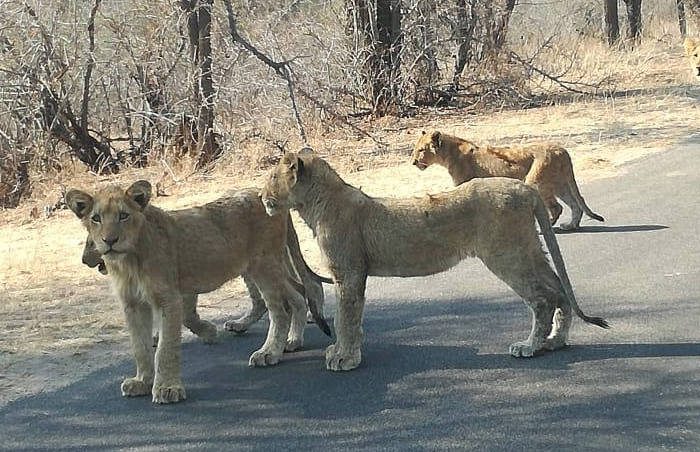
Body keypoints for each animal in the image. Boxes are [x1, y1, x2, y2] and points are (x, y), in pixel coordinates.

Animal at [65, 180, 330, 402]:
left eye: (123, 216)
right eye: (96, 218)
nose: (109, 241)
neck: (129, 259)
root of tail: (262, 193)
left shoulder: (170, 297)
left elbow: (166, 347)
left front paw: (167, 388)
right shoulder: (132, 304)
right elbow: (139, 346)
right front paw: (142, 381)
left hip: (264, 265)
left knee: (281, 308)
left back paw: (270, 352)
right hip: (266, 267)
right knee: (297, 295)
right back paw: (291, 341)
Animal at [262, 151, 608, 370]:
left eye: (269, 178)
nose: (262, 196)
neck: (317, 203)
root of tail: (523, 187)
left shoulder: (347, 272)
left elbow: (345, 318)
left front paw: (344, 358)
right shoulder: (352, 274)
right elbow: (352, 318)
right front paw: (345, 351)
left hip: (506, 254)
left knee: (542, 299)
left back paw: (530, 346)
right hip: (528, 249)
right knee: (558, 289)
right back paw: (555, 341)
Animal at [412, 130, 604, 230]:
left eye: (421, 150)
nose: (413, 162)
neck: (449, 153)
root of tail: (561, 150)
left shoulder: (465, 185)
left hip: (536, 182)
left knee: (557, 208)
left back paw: (547, 226)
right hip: (559, 184)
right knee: (575, 204)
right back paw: (571, 225)